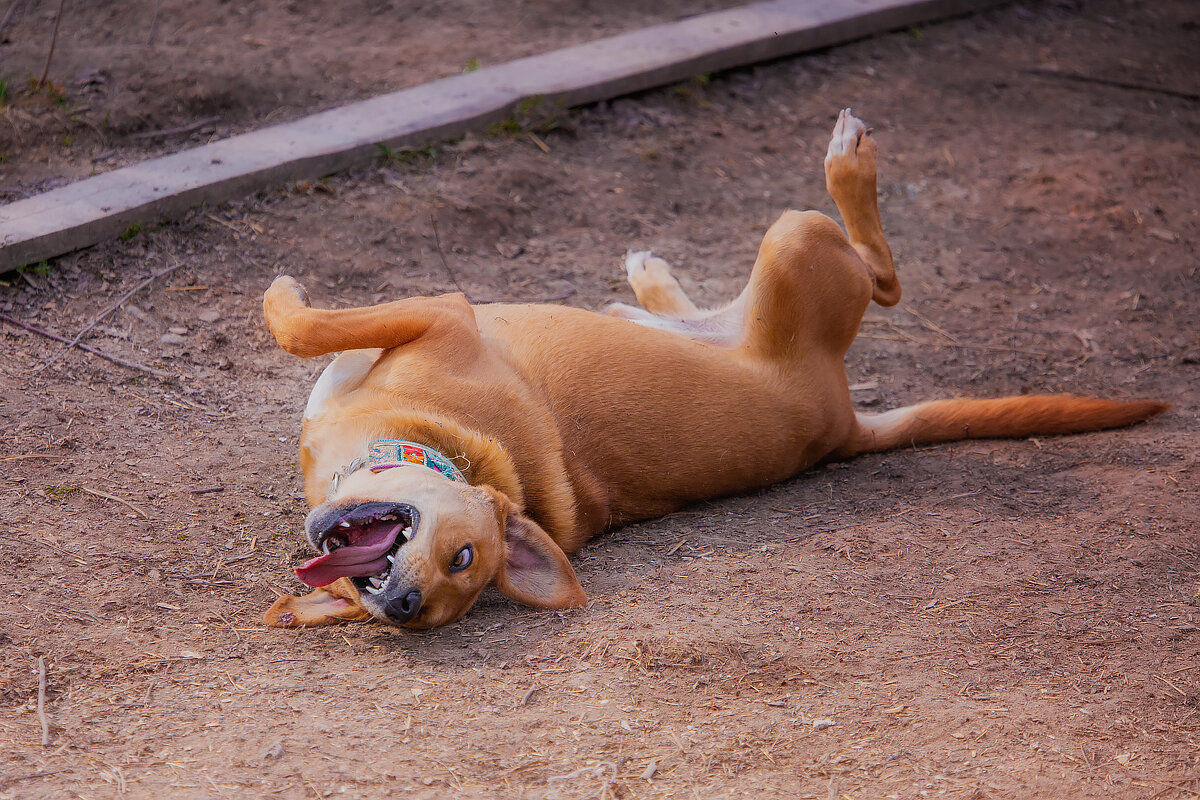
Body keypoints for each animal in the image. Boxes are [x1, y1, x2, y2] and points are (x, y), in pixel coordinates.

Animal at [260, 109, 1161, 628]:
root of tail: (846, 428)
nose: (402, 606)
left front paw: (280, 290)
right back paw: (648, 282)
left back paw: (847, 158)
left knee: (884, 275)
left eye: (463, 563)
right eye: (387, 612)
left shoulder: (443, 310)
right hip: (753, 292)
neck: (442, 444)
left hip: (795, 238)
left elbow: (298, 322)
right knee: (704, 314)